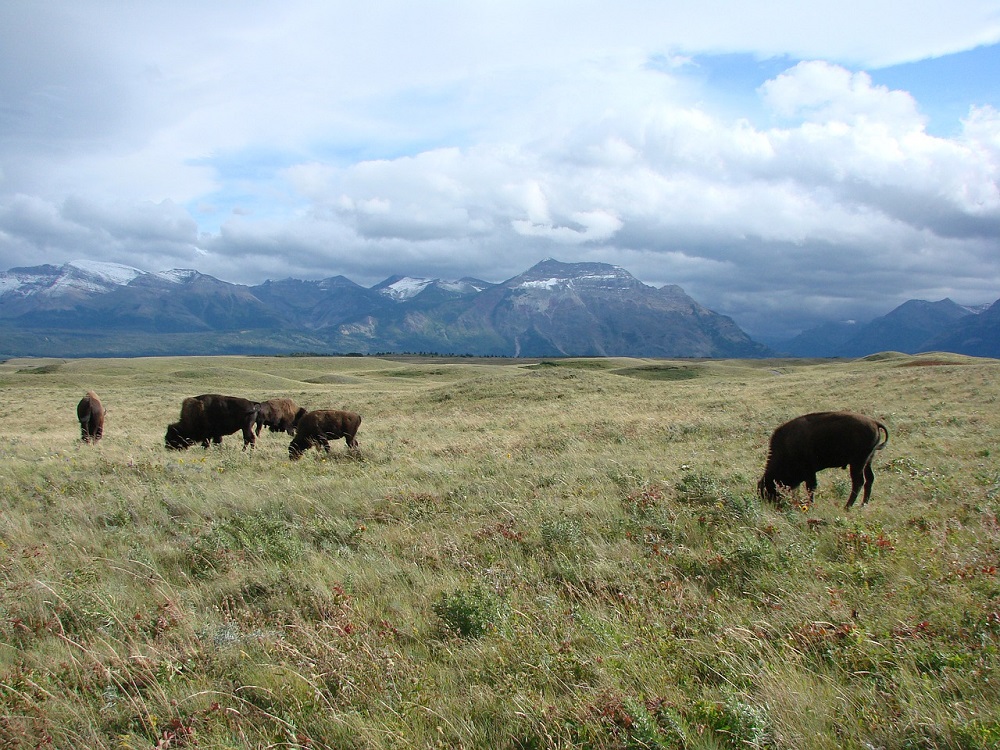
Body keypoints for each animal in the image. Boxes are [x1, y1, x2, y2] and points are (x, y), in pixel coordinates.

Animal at [756, 412, 892, 512]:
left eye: (770, 489)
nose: (772, 505)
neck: (787, 446)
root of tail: (874, 422)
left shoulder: (809, 472)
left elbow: (811, 488)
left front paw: (810, 505)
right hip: (868, 461)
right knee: (869, 479)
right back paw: (863, 505)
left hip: (858, 463)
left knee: (858, 482)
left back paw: (847, 507)